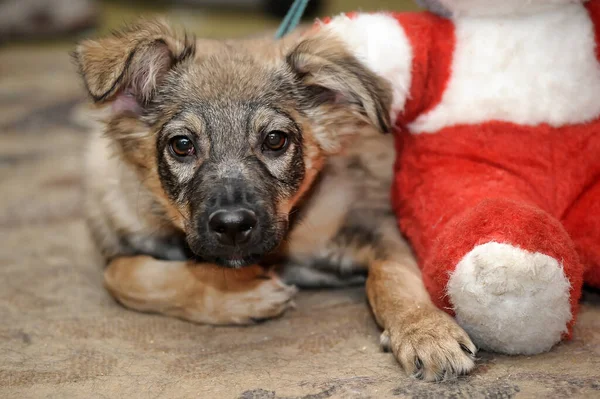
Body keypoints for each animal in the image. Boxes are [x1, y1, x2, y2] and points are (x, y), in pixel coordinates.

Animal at [76, 20, 478, 382]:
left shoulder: (375, 223)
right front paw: (242, 297)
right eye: (182, 145)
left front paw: (426, 332)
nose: (233, 227)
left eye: (274, 140)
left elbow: (391, 277)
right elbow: (123, 275)